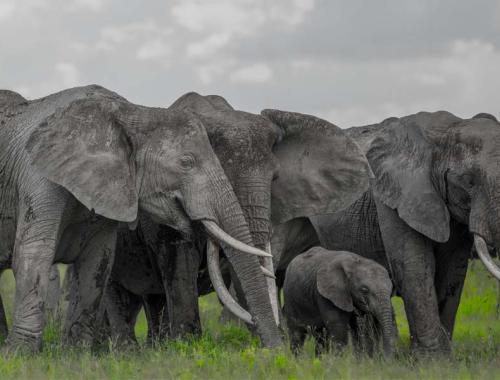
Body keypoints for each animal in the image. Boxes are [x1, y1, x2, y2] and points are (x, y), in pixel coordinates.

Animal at [0, 84, 282, 352]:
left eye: (275, 178)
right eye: (186, 162)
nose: (274, 352)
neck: (132, 113)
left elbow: (97, 262)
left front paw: (75, 354)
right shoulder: (36, 178)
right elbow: (34, 253)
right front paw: (21, 354)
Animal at [272, 111, 500, 354]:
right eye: (469, 181)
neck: (448, 130)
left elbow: (451, 274)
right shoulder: (394, 196)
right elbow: (414, 267)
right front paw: (433, 358)